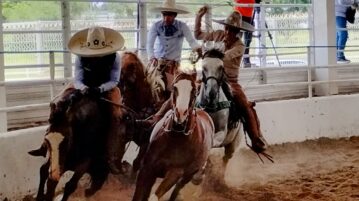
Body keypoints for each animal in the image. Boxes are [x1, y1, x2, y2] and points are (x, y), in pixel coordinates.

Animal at [134, 72, 215, 201]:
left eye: (195, 91)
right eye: (174, 87)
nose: (180, 113)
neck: (175, 138)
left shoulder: (175, 173)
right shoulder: (147, 168)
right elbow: (139, 195)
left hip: (187, 176)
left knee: (177, 190)